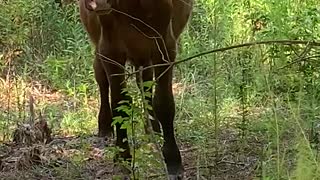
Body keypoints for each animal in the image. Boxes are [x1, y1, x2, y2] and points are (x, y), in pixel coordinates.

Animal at [78, 0, 192, 179]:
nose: (95, 4)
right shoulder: (109, 50)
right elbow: (119, 103)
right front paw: (122, 158)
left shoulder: (166, 47)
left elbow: (164, 104)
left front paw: (173, 160)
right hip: (98, 44)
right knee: (101, 78)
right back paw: (104, 127)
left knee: (145, 83)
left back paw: (152, 129)